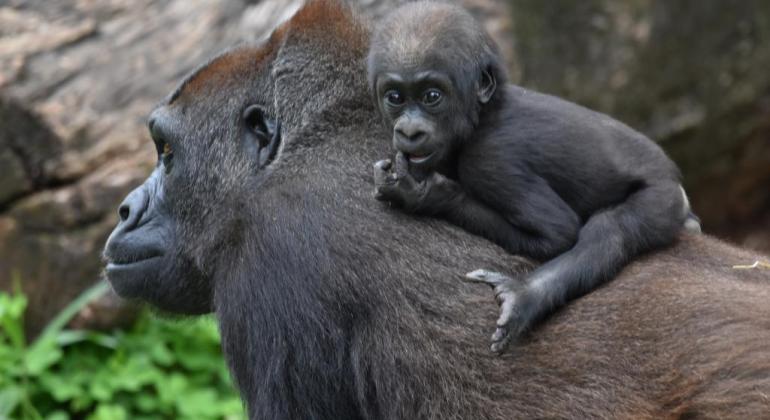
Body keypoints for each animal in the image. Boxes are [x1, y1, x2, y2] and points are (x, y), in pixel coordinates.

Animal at [368, 1, 700, 352]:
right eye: (395, 97)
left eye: (432, 96)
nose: (409, 132)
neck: (484, 114)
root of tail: (675, 179)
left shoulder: (490, 161)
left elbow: (556, 234)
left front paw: (427, 195)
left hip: (662, 196)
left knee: (610, 230)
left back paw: (525, 294)